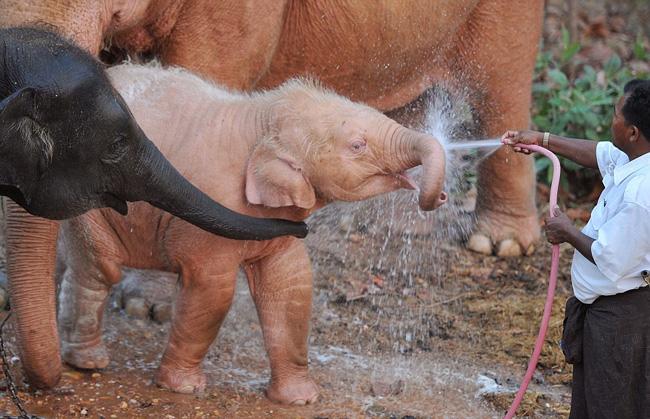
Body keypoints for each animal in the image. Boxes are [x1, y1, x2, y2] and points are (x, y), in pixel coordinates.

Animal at [1, 0, 540, 388]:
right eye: (357, 146)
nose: (439, 197)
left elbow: (291, 284)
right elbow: (220, 289)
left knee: (502, 82)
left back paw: (501, 244)